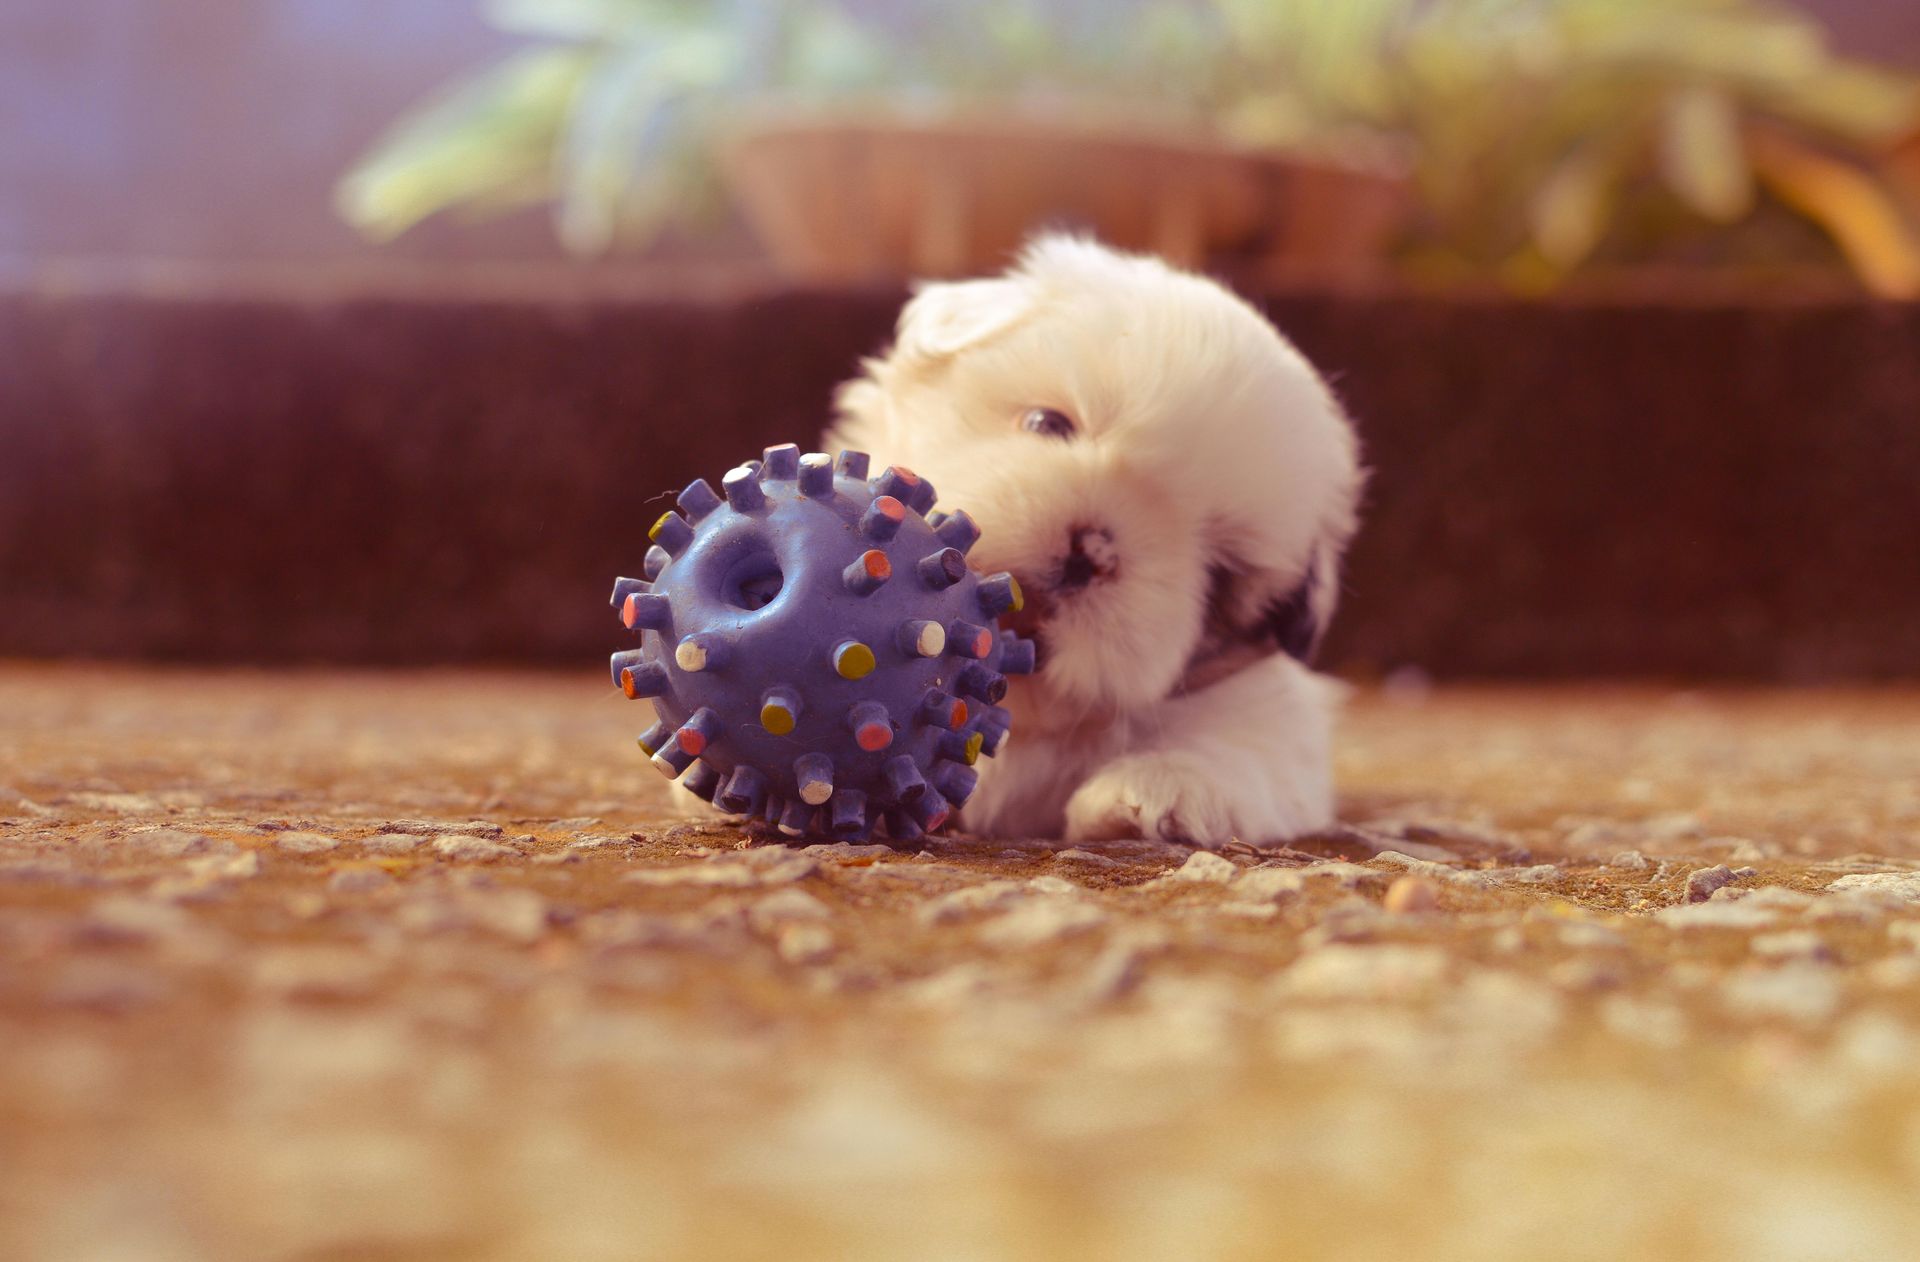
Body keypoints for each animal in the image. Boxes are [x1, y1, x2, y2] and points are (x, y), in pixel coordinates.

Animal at [825, 236, 1367, 845]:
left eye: (1218, 576)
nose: (1094, 552)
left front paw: (1157, 790)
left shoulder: (1274, 726)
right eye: (1046, 422)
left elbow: (1243, 754)